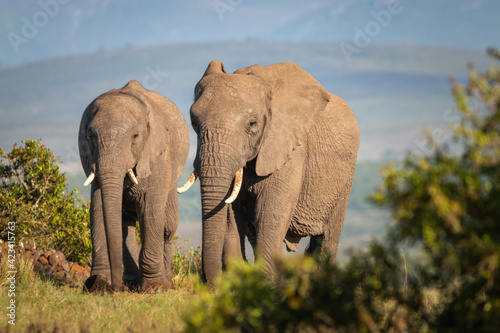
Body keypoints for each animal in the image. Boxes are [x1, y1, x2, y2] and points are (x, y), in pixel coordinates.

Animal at [78, 80, 189, 290]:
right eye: (90, 137)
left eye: (135, 136)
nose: (116, 288)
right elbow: (97, 210)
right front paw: (98, 284)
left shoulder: (158, 158)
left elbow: (151, 211)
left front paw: (155, 288)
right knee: (125, 224)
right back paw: (133, 283)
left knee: (167, 227)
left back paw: (164, 283)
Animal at [180, 60, 360, 282]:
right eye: (194, 123)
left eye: (252, 124)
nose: (211, 283)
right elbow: (232, 212)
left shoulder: (289, 149)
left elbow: (269, 213)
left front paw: (266, 286)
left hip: (344, 181)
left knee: (327, 238)